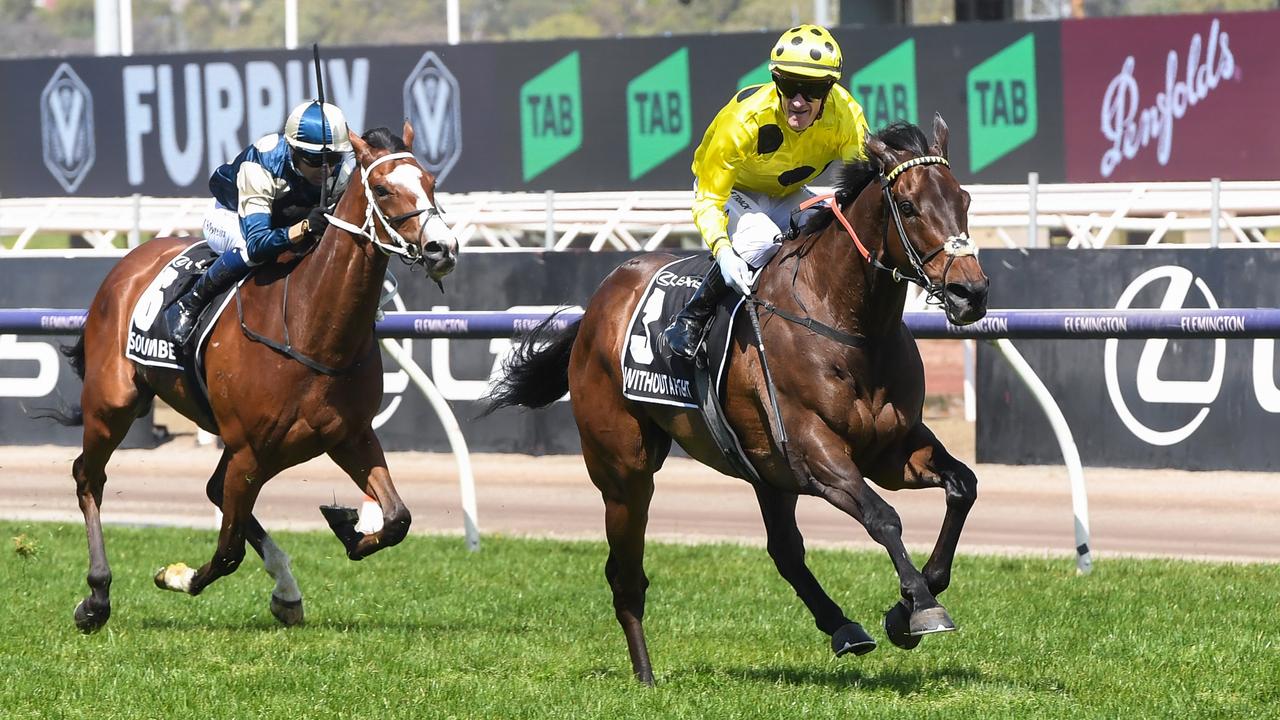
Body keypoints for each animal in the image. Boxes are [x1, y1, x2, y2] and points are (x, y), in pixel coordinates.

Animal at [51, 122, 460, 627]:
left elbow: (398, 517)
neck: (309, 325)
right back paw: (97, 596)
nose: (442, 248)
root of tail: (130, 262)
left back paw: (286, 588)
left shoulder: (349, 435)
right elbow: (227, 553)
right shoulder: (249, 449)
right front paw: (177, 576)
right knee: (89, 477)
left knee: (212, 488)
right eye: (383, 189)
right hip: (112, 403)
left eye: (430, 182)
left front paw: (347, 529)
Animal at [483, 116, 983, 676]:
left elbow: (963, 486)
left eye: (963, 199)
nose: (971, 293)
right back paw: (645, 676)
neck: (846, 323)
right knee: (626, 575)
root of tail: (597, 304)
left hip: (766, 469)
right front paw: (920, 606)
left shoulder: (892, 450)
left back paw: (843, 628)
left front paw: (908, 606)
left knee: (784, 550)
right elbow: (884, 517)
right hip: (623, 470)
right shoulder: (816, 451)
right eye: (910, 206)